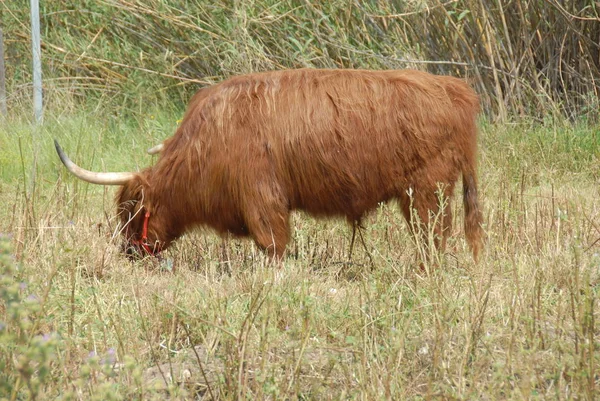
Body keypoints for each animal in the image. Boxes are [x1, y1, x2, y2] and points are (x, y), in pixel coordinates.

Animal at [55, 69, 482, 260]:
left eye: (131, 210)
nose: (127, 252)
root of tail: (454, 89)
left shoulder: (263, 199)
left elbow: (273, 246)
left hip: (427, 193)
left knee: (433, 240)